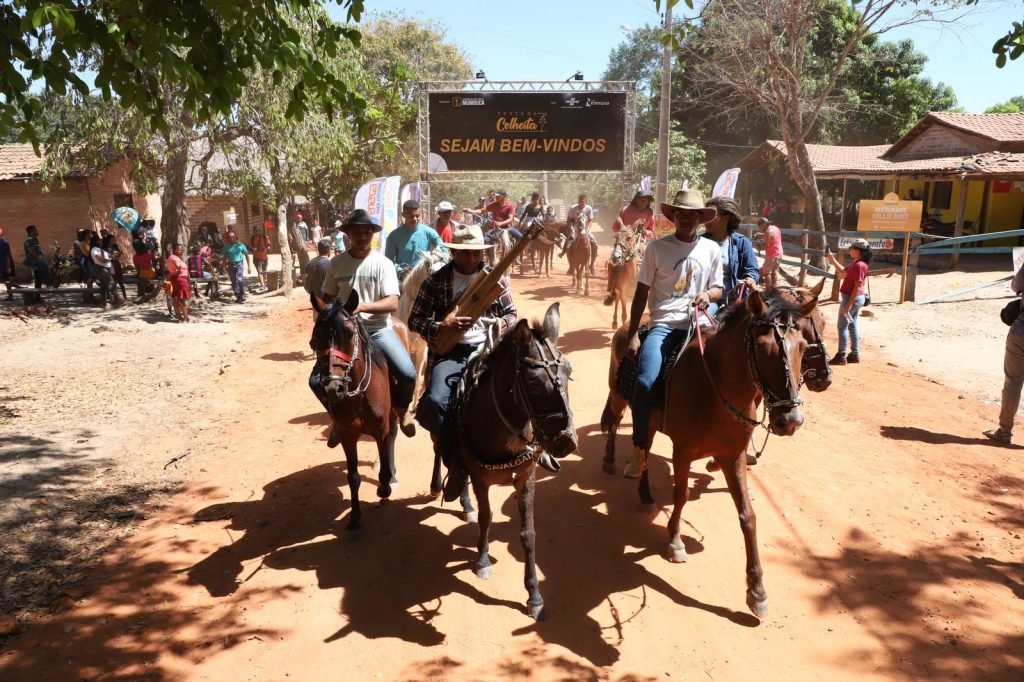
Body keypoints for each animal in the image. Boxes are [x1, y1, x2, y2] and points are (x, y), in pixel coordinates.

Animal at [307, 288, 415, 532]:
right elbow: (353, 477)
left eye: (349, 334)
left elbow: (383, 467)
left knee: (394, 435)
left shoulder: (381, 430)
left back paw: (392, 478)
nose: (332, 388)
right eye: (315, 339)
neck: (356, 393)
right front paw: (355, 516)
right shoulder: (348, 435)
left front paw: (384, 488)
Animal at [430, 301, 577, 614]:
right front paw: (482, 560)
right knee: (441, 451)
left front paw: (534, 595)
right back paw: (441, 487)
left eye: (568, 371)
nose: (566, 441)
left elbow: (528, 533)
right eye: (533, 382)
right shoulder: (481, 479)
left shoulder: (526, 477)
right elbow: (486, 517)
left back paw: (464, 502)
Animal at [598, 278, 831, 618]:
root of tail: (629, 327)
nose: (790, 420)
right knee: (615, 423)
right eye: (762, 349)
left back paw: (645, 493)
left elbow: (748, 516)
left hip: (650, 419)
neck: (717, 386)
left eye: (801, 345)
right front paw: (675, 542)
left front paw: (756, 590)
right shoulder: (682, 451)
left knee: (644, 445)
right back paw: (610, 460)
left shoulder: (732, 455)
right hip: (620, 396)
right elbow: (681, 495)